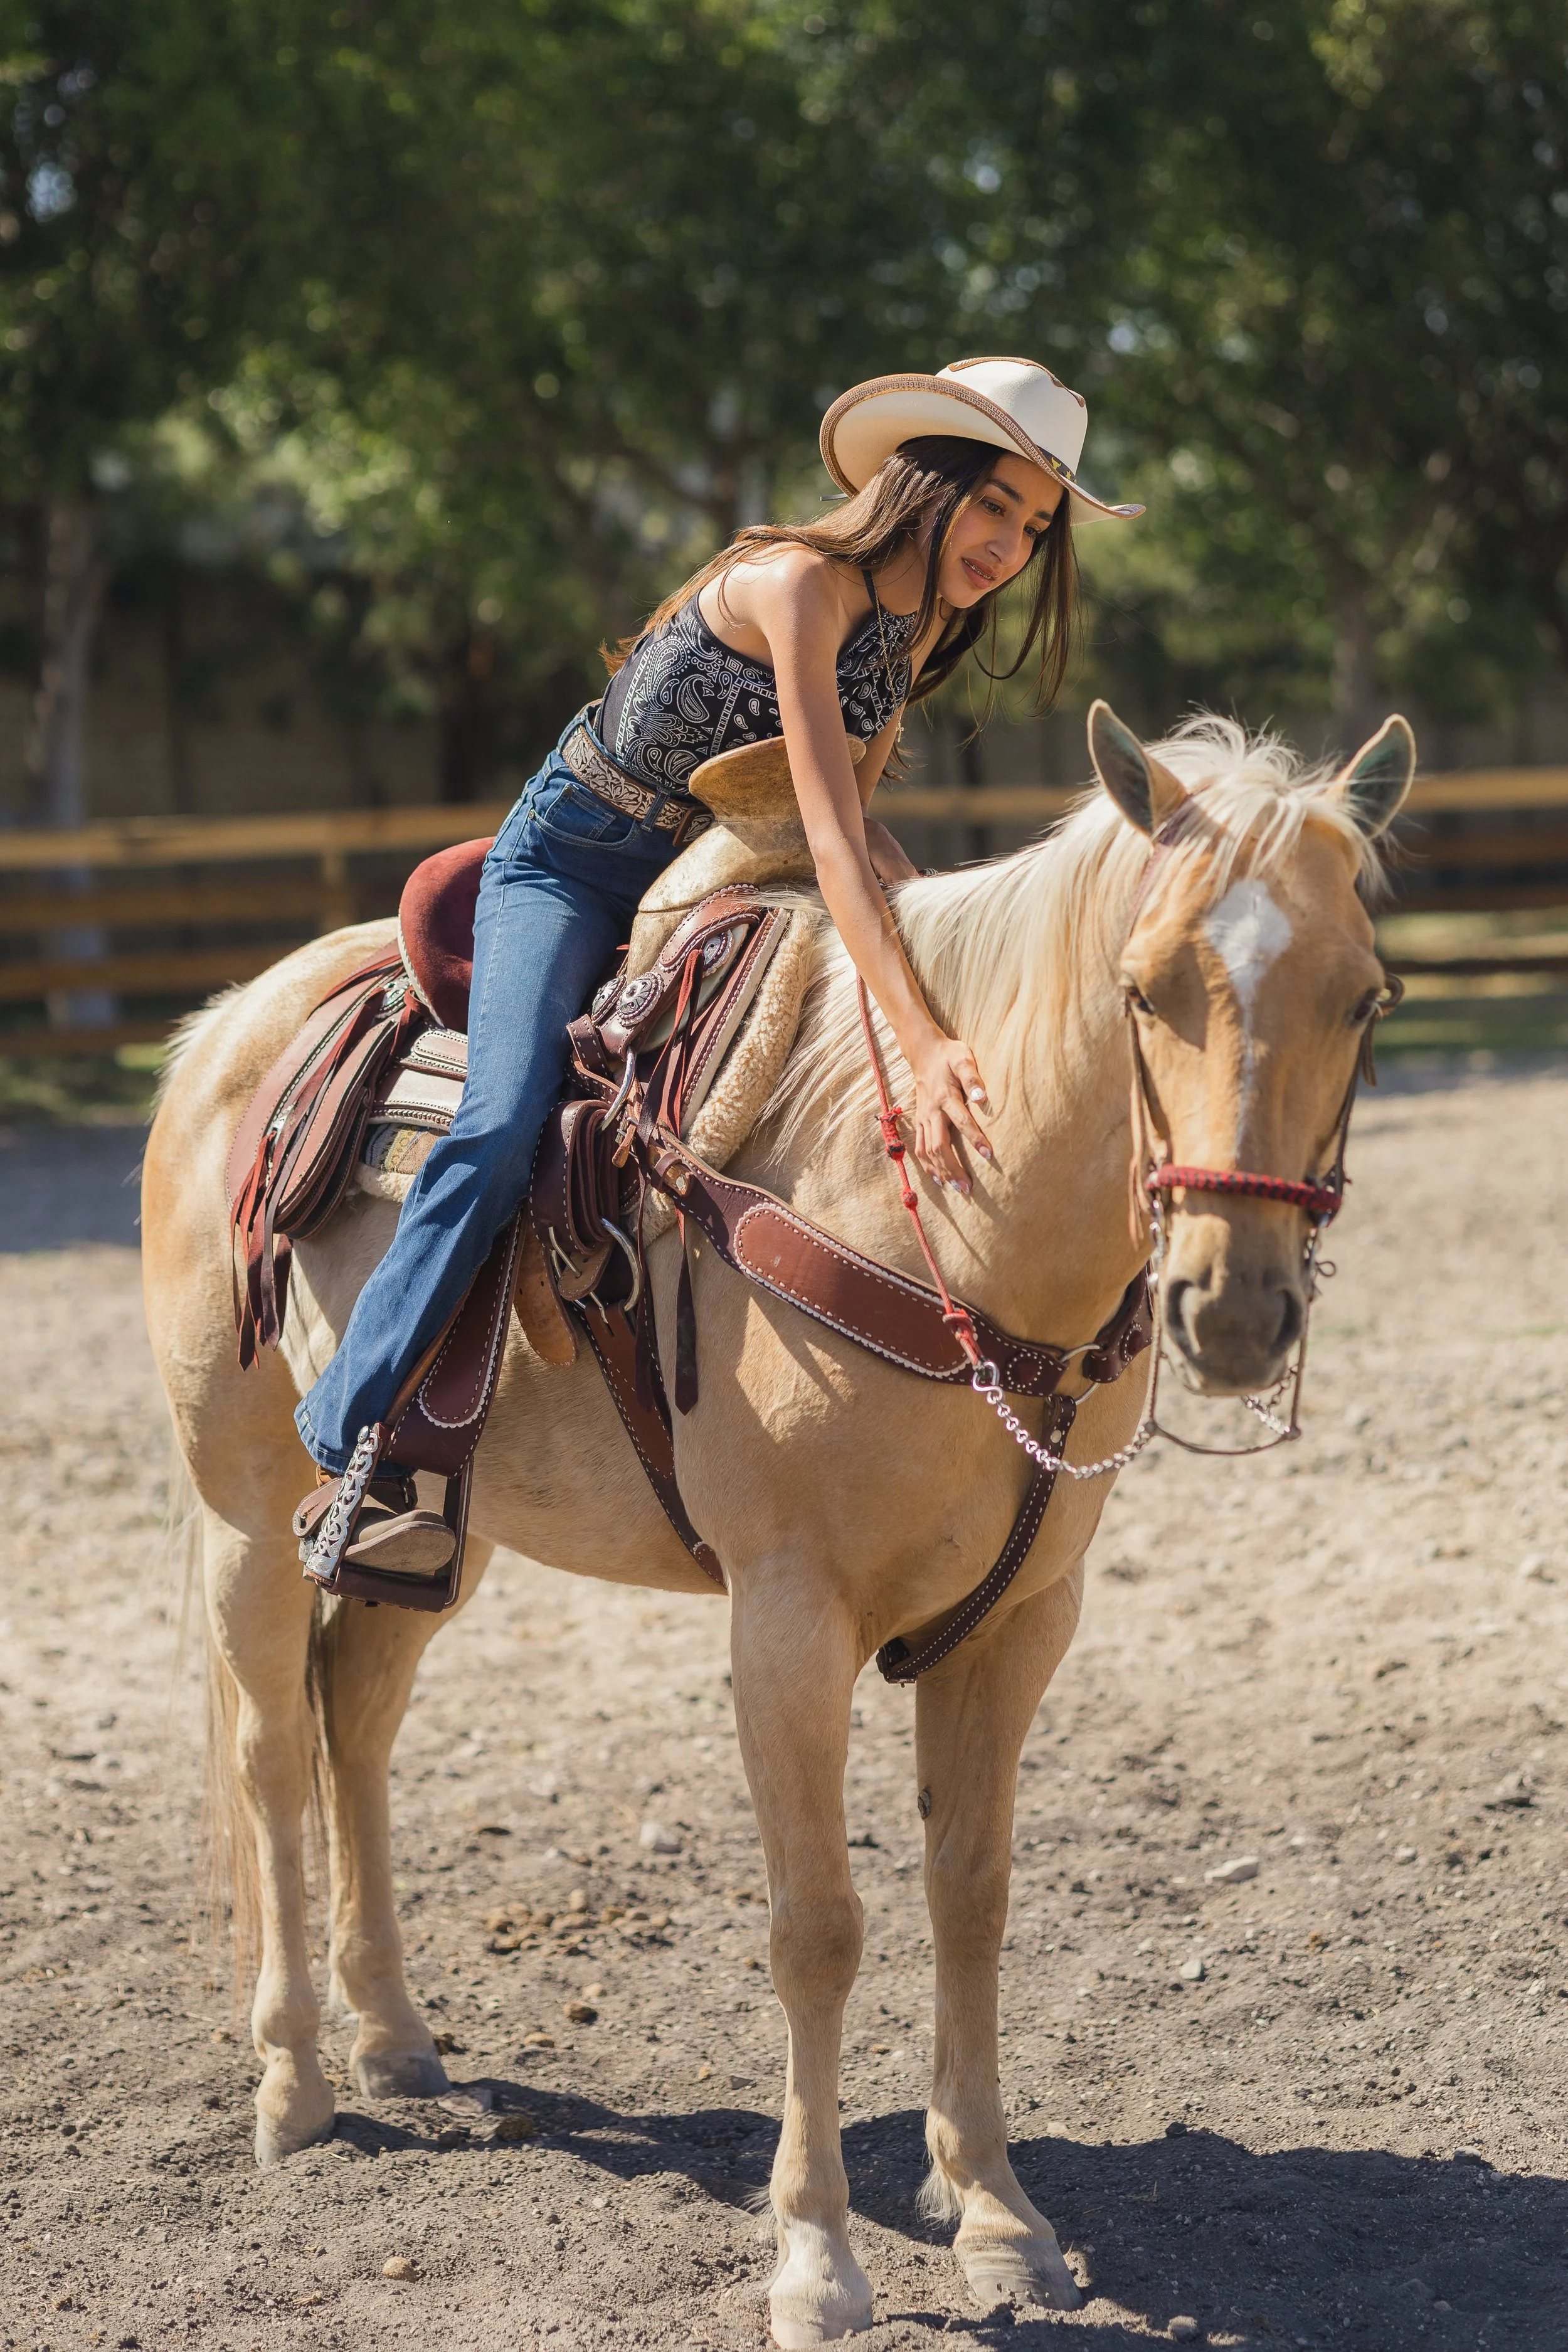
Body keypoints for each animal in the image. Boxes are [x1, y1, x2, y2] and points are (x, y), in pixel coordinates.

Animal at [141, 704, 1412, 2346]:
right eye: (1145, 989)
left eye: (1363, 996)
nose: (1237, 1308)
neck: (948, 1224)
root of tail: (225, 1030)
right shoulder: (787, 1626)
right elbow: (819, 1924)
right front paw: (817, 2253)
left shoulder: (1019, 1626)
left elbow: (972, 1895)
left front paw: (996, 2213)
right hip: (243, 1508)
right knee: (271, 1756)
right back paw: (294, 2081)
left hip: (434, 1529)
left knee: (353, 1723)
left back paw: (395, 2036)